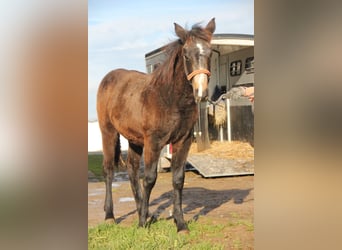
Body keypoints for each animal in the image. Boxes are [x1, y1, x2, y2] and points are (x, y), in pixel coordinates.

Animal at [96, 18, 215, 232]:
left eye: (210, 52)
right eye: (186, 54)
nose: (201, 92)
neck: (169, 98)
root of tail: (108, 78)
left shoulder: (183, 141)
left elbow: (178, 179)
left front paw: (180, 224)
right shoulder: (154, 142)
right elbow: (150, 178)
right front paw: (142, 223)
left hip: (134, 139)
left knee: (132, 170)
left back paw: (143, 211)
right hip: (108, 132)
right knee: (109, 170)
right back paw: (111, 216)